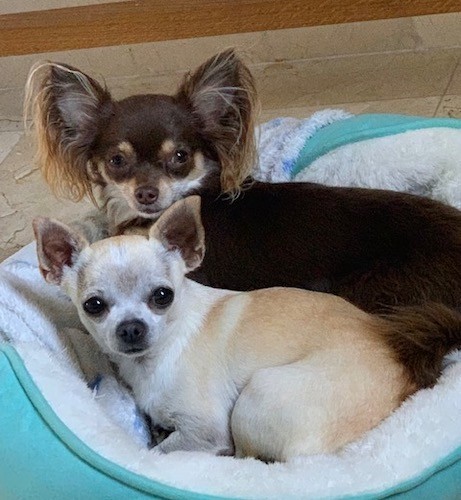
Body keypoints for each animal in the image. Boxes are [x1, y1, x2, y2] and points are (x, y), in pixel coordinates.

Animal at [34, 197, 460, 462]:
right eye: (94, 306)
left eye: (162, 296)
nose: (131, 328)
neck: (153, 360)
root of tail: (398, 357)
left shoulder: (206, 431)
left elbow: (162, 452)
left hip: (259, 397)